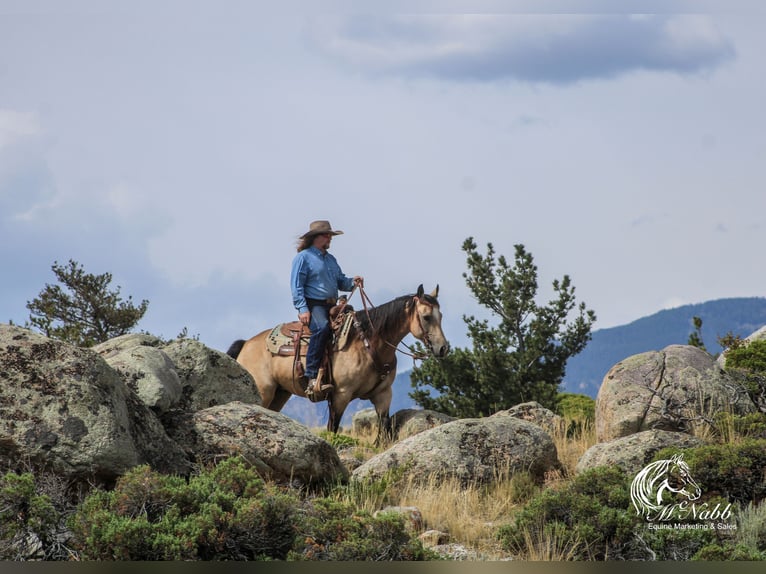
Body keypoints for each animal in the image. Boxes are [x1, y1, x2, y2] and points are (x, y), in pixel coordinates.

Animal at [226, 286, 450, 444]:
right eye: (426, 317)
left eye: (441, 316)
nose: (443, 348)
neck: (369, 344)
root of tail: (246, 344)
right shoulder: (340, 395)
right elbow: (332, 429)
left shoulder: (383, 394)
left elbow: (383, 432)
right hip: (263, 391)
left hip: (279, 394)